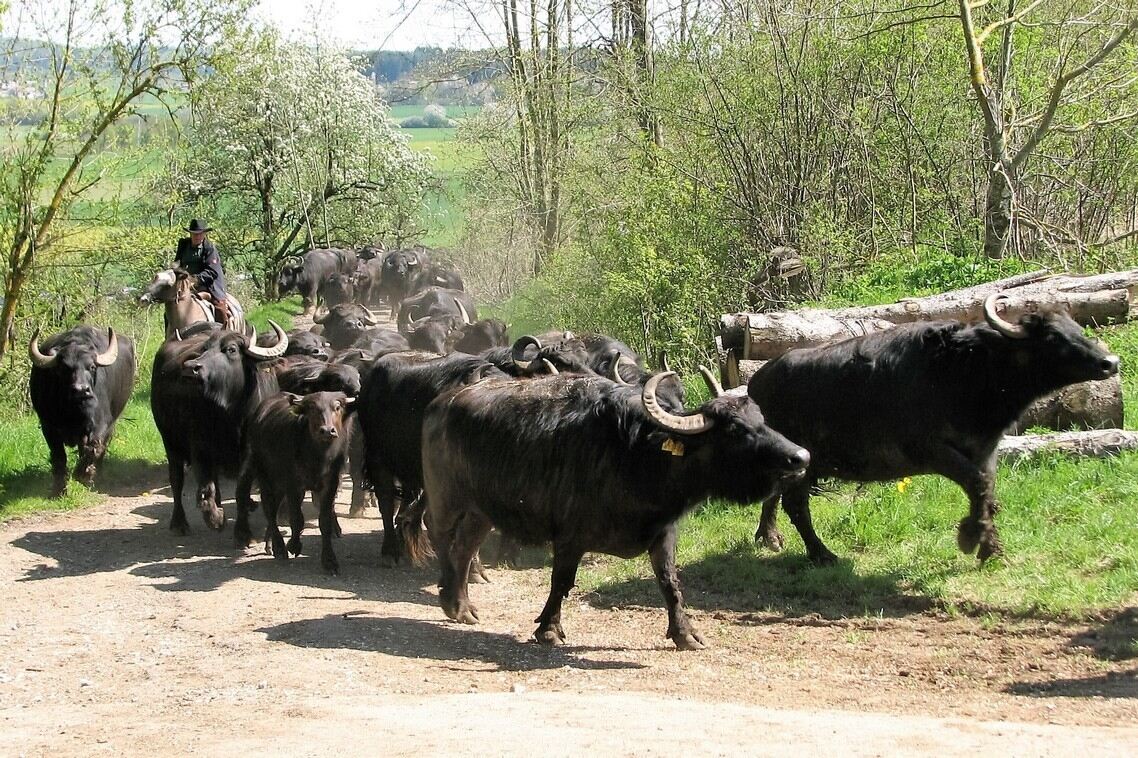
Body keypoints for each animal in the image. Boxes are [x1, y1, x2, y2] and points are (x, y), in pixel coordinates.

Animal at [28, 325, 136, 496]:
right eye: (64, 368)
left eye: (91, 367)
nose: (81, 390)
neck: (74, 413)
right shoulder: (48, 427)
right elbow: (59, 457)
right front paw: (59, 491)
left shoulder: (100, 425)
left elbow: (93, 448)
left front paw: (83, 475)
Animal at [151, 320, 289, 528]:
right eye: (205, 348)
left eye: (231, 349)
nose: (191, 367)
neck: (231, 415)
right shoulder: (199, 447)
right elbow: (206, 487)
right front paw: (215, 518)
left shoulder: (249, 453)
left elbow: (242, 489)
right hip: (169, 440)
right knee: (176, 478)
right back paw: (179, 523)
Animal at [405, 368, 814, 646]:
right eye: (733, 430)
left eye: (761, 420)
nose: (800, 457)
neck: (637, 456)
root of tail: (440, 403)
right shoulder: (569, 537)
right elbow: (561, 582)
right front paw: (549, 629)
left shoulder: (663, 534)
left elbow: (670, 582)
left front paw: (685, 634)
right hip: (446, 498)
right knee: (441, 538)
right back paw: (448, 598)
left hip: (482, 511)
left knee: (465, 547)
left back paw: (463, 606)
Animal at [741, 293, 1124, 559]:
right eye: (1053, 337)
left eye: (1077, 328)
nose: (1110, 362)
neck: (966, 372)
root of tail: (757, 384)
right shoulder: (931, 450)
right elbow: (977, 485)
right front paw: (971, 538)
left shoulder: (985, 450)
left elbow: (987, 491)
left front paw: (991, 547)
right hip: (804, 466)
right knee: (796, 505)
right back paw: (822, 554)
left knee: (775, 497)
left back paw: (769, 537)